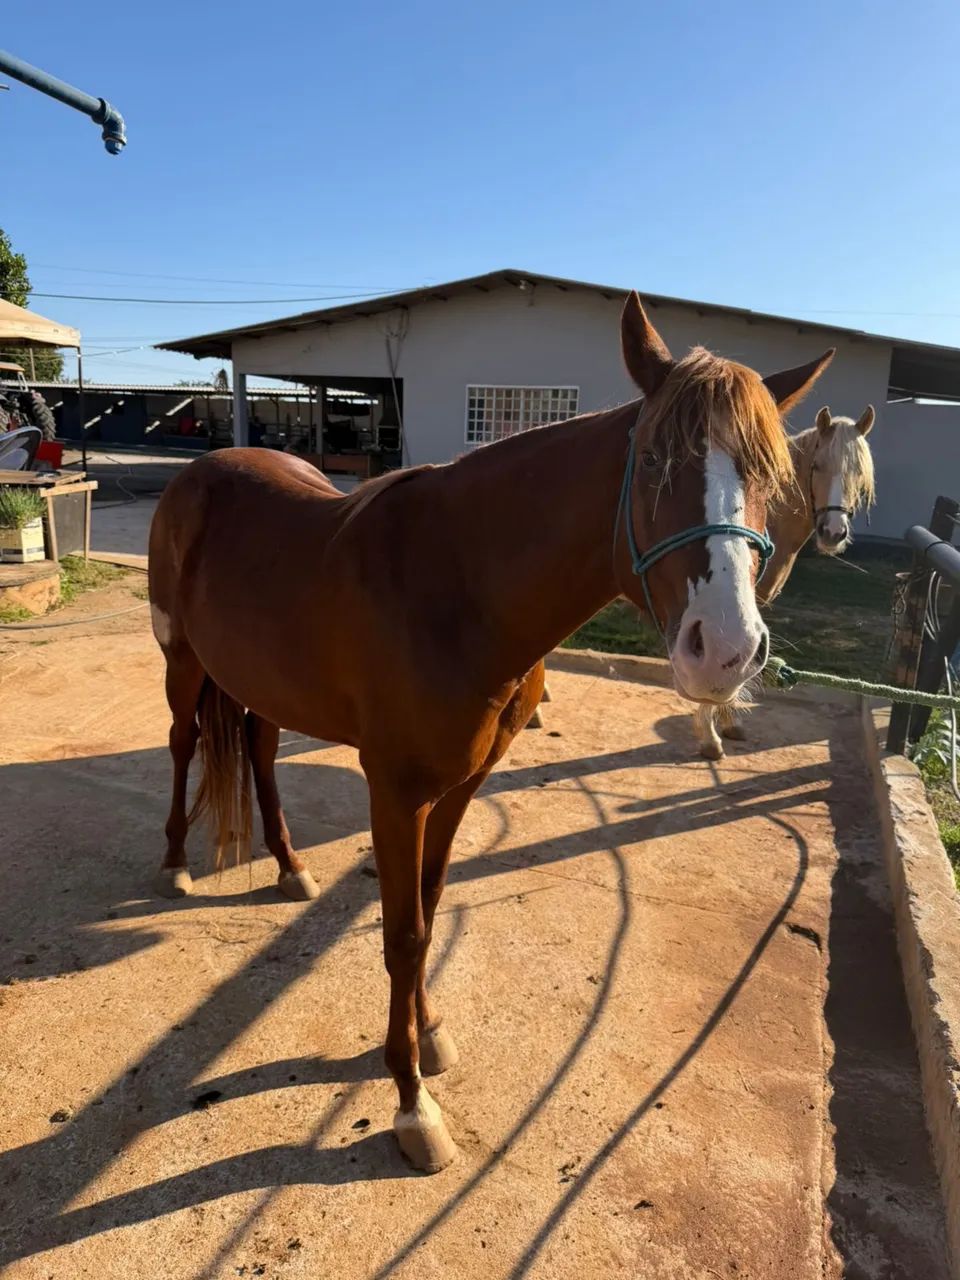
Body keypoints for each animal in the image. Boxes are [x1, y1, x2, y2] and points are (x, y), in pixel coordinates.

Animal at [147, 293, 833, 1173]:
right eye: (652, 461)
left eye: (768, 478)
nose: (726, 651)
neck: (457, 587)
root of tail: (199, 474)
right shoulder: (395, 791)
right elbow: (404, 932)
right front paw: (411, 1102)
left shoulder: (462, 784)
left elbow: (433, 906)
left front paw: (430, 1034)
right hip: (183, 662)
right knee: (181, 746)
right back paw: (174, 864)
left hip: (258, 678)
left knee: (261, 754)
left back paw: (290, 865)